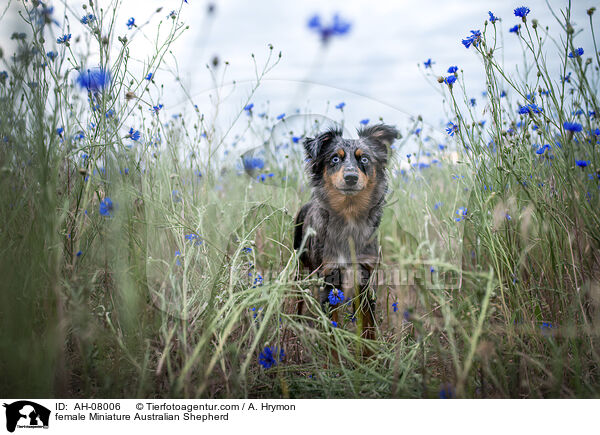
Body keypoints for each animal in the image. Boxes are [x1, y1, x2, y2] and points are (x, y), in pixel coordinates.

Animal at [292, 122, 398, 340]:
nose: (351, 177)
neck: (349, 216)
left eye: (364, 159)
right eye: (334, 159)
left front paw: (370, 349)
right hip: (299, 266)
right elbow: (332, 329)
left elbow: (368, 328)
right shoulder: (330, 279)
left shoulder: (366, 278)